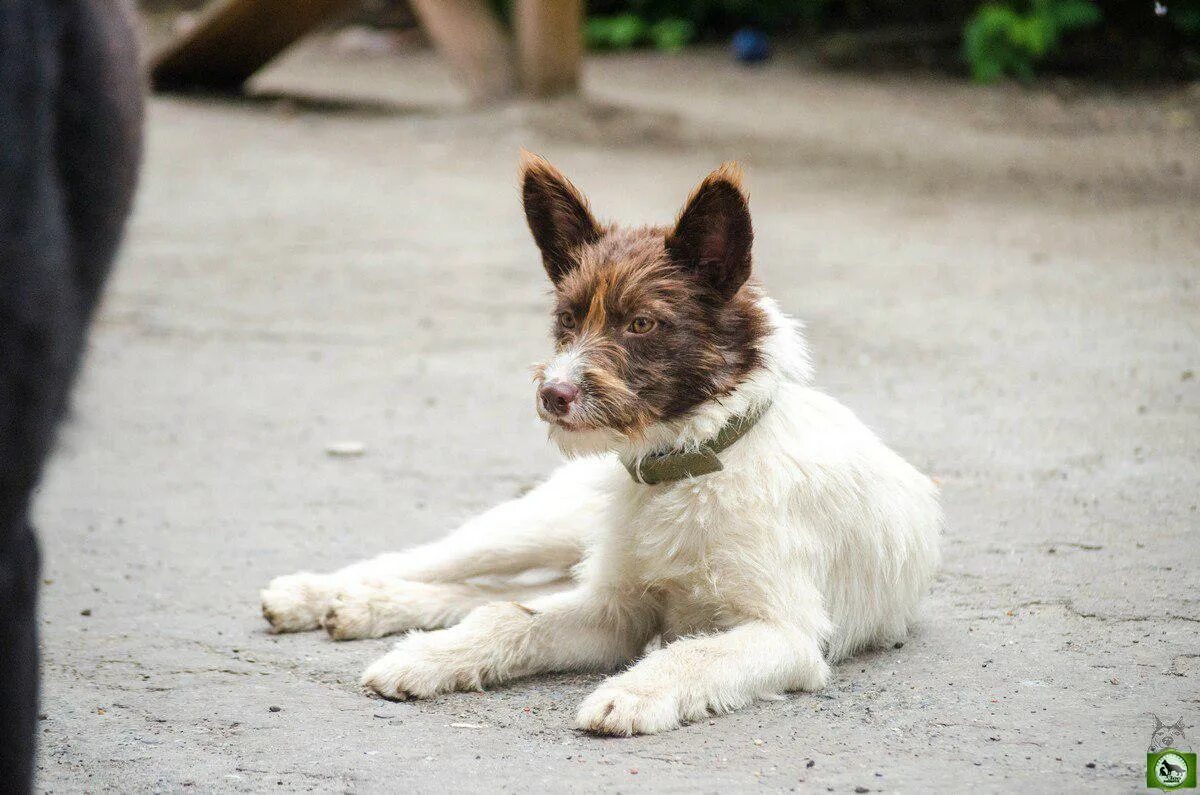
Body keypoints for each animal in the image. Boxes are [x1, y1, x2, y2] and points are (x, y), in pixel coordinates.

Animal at [258, 152, 940, 739]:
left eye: (641, 323)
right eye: (566, 320)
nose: (552, 395)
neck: (692, 465)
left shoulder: (783, 633)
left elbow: (689, 653)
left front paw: (632, 694)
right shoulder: (617, 609)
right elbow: (514, 620)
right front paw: (428, 658)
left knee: (491, 592)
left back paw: (362, 607)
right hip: (538, 523)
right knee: (441, 566)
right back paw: (321, 595)